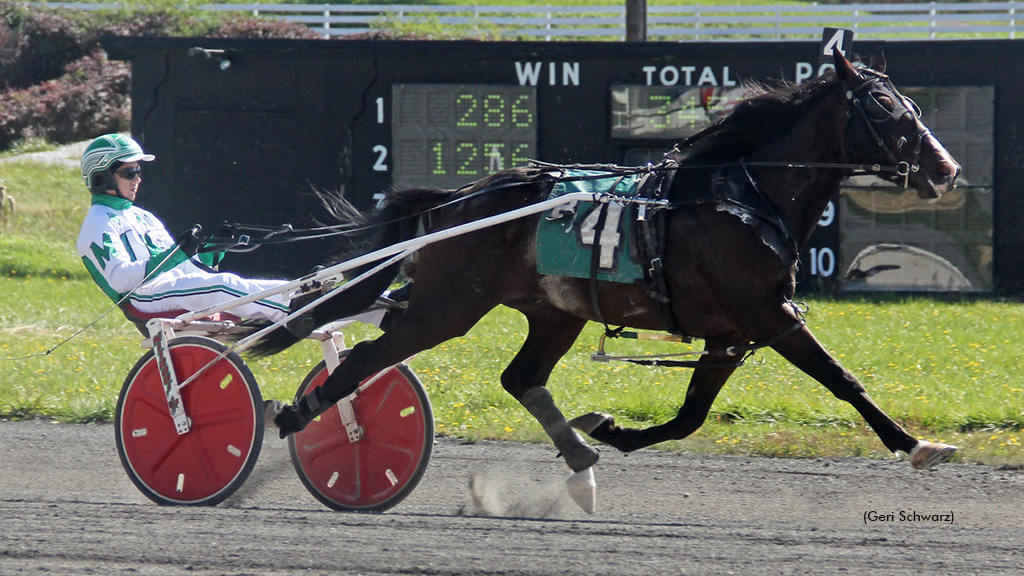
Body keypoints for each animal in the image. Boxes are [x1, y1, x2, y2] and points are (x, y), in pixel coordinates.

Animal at [245, 48, 958, 506]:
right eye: (884, 105)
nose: (945, 168)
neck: (743, 195)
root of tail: (458, 200)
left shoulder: (730, 331)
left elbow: (690, 416)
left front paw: (609, 430)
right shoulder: (768, 314)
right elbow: (841, 378)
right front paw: (915, 443)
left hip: (553, 310)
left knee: (520, 377)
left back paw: (581, 462)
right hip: (447, 306)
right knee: (369, 356)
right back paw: (298, 414)